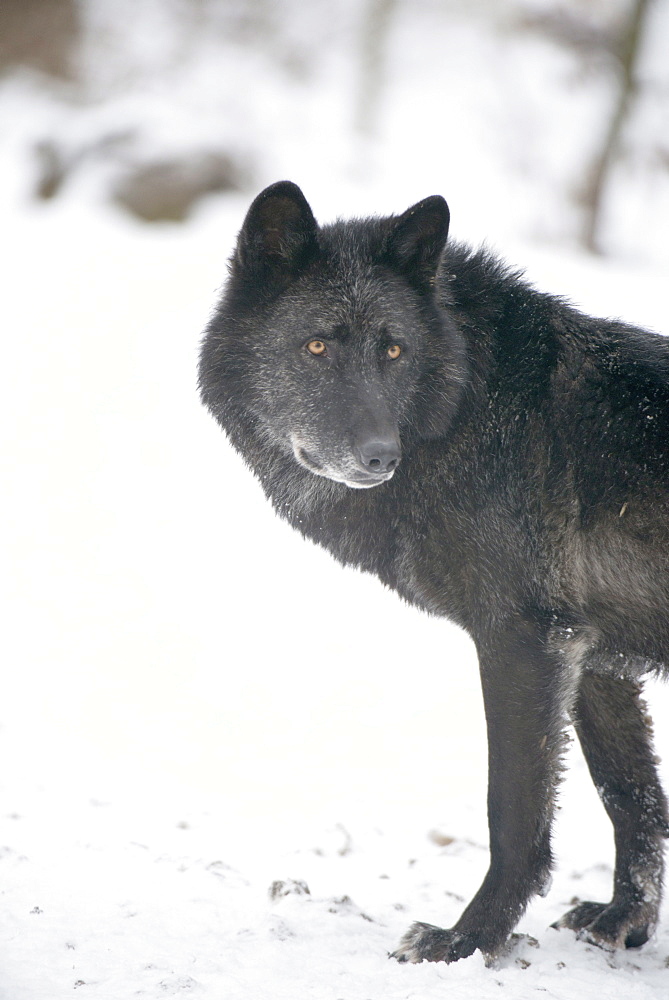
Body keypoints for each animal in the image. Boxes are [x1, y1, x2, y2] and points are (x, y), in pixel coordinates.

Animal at [198, 184, 668, 964]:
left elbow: (514, 813)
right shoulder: (593, 656)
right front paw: (623, 922)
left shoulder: (524, 642)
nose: (378, 456)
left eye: (394, 349)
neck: (467, 407)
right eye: (317, 346)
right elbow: (630, 797)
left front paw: (467, 940)